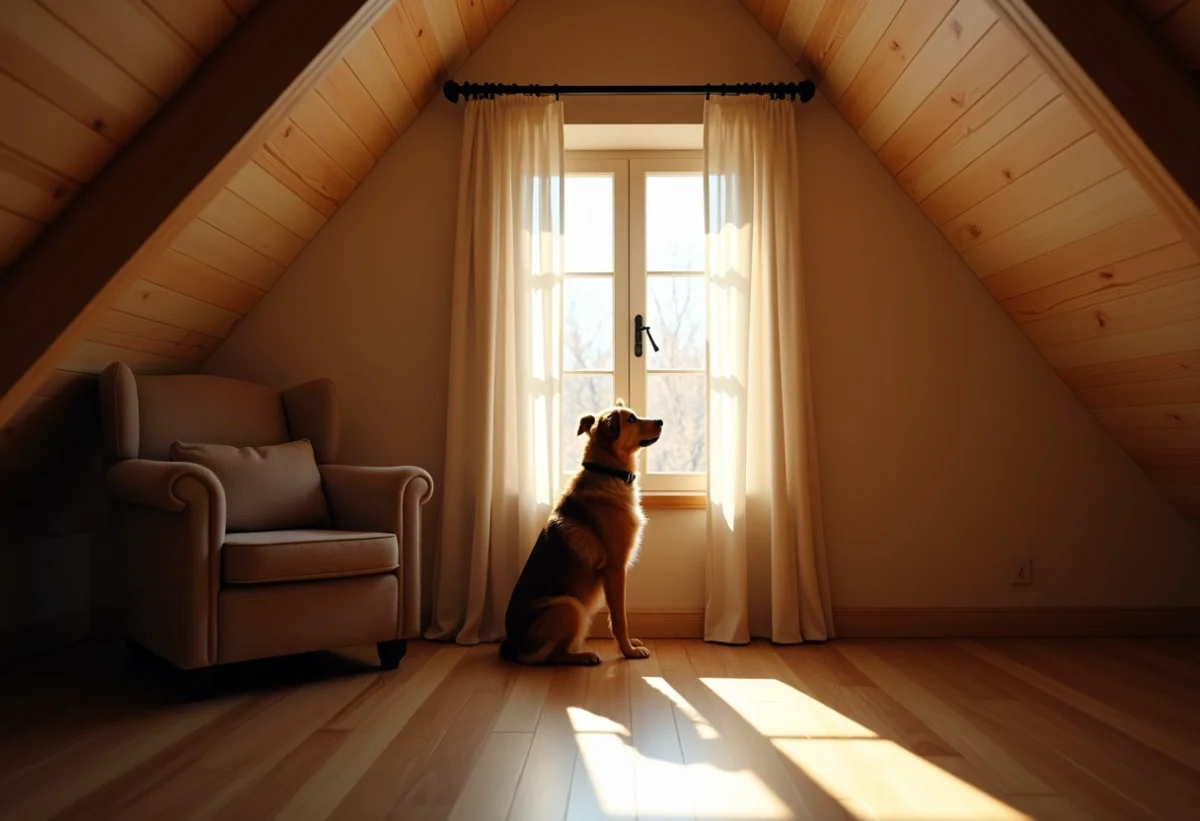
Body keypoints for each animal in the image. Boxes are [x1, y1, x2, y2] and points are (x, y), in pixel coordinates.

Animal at [499, 400, 667, 662]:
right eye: (631, 419)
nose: (661, 421)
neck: (607, 471)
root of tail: (512, 645)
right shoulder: (615, 569)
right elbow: (619, 618)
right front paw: (628, 650)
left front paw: (629, 645)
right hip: (569, 606)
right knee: (550, 657)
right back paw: (582, 656)